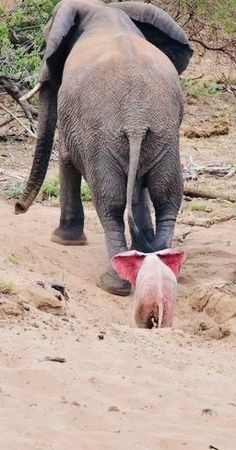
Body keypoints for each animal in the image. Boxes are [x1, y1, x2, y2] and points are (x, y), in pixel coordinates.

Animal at [14, 0, 193, 298]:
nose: (17, 208)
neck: (103, 9)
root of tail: (136, 117)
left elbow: (66, 157)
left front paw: (63, 240)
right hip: (162, 136)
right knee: (166, 195)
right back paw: (161, 263)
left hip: (103, 139)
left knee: (110, 201)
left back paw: (113, 284)